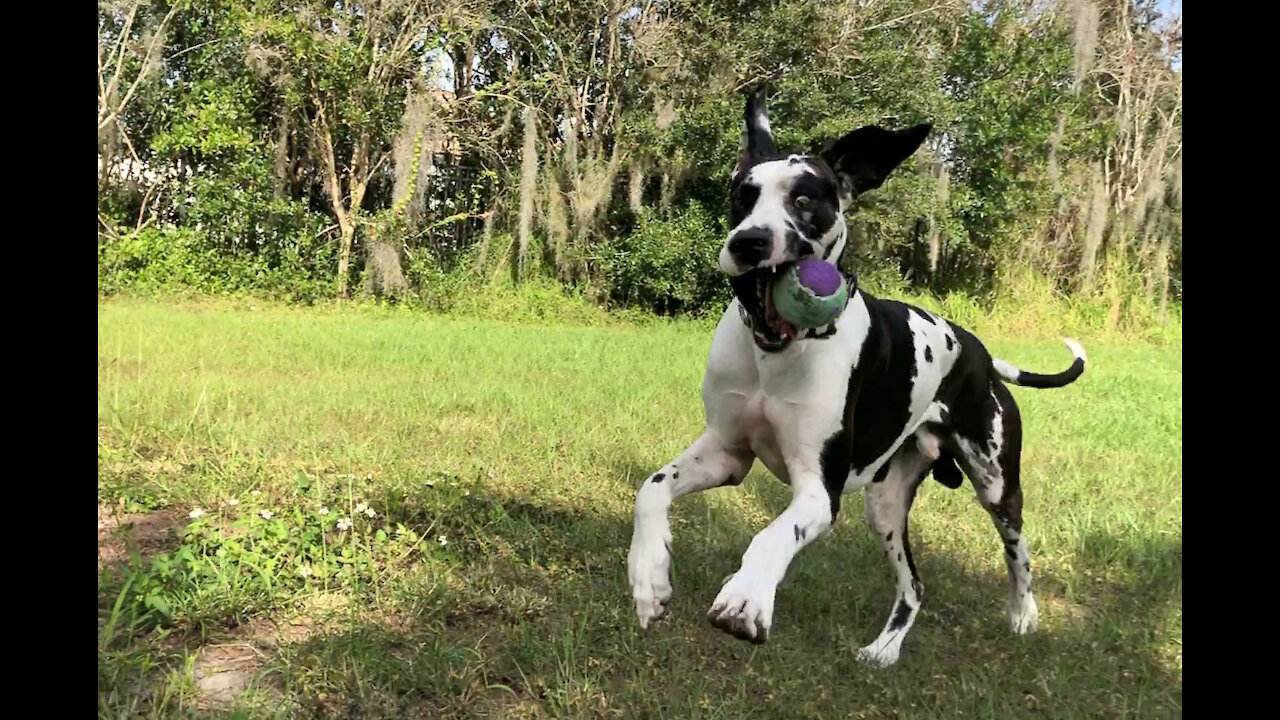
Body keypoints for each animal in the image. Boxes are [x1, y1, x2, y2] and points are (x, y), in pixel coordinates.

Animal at [624, 90, 1085, 666]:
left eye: (804, 200)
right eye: (741, 197)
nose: (750, 241)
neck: (778, 355)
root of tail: (979, 351)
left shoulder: (820, 491)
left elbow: (773, 534)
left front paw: (747, 596)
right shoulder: (727, 453)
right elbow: (651, 488)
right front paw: (649, 578)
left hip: (997, 485)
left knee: (1018, 553)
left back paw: (1023, 614)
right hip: (885, 508)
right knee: (915, 585)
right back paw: (885, 648)